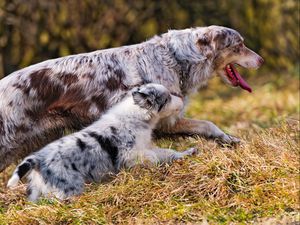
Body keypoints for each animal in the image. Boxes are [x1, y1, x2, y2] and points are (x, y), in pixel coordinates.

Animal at [0, 24, 262, 171]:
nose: (261, 59)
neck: (176, 58)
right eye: (239, 45)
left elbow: (207, 126)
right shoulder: (165, 121)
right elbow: (207, 124)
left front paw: (229, 140)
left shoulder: (169, 121)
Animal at [7, 83, 197, 202]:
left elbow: (166, 152)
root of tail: (36, 159)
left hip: (36, 191)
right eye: (167, 99)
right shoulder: (133, 154)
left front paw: (187, 152)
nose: (182, 100)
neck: (137, 115)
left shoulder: (145, 147)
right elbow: (158, 156)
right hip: (68, 188)